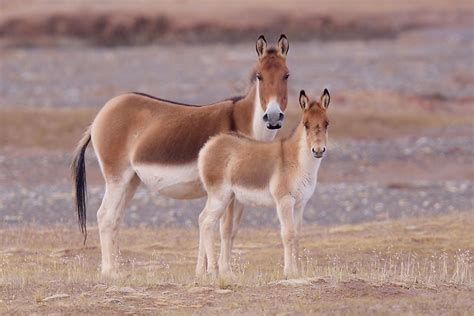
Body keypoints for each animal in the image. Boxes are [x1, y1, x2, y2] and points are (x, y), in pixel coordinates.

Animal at [196, 89, 330, 278]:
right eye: (306, 124)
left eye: (326, 123)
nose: (318, 151)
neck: (297, 160)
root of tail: (209, 145)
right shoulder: (284, 201)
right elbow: (287, 234)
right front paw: (289, 273)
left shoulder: (300, 203)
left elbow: (297, 235)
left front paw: (297, 273)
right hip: (219, 196)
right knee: (207, 222)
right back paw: (213, 272)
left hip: (224, 197)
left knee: (203, 219)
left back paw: (201, 272)